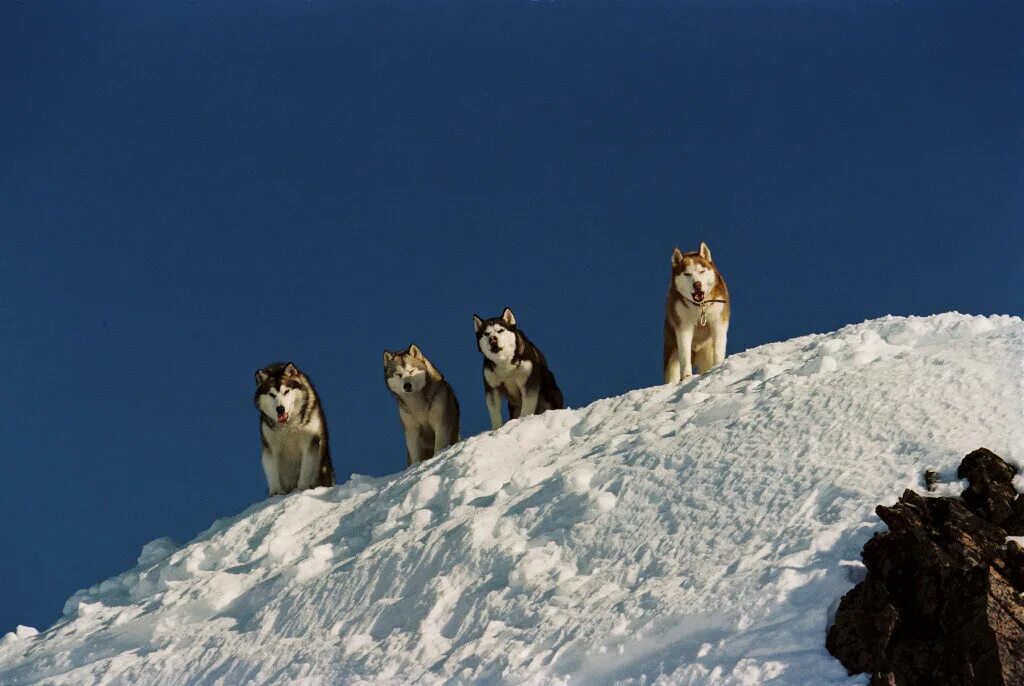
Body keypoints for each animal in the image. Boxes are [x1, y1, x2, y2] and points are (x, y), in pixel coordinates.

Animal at [253, 362, 333, 497]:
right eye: (271, 394)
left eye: (286, 391)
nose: (280, 409)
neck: (288, 425)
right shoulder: (270, 447)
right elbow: (272, 473)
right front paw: (275, 494)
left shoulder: (309, 444)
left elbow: (305, 472)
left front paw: (301, 489)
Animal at [663, 241, 729, 384]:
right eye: (687, 274)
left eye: (701, 271)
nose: (697, 284)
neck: (700, 307)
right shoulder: (683, 326)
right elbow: (684, 355)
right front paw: (686, 377)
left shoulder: (718, 322)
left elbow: (718, 349)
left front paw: (718, 367)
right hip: (671, 353)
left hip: (706, 353)